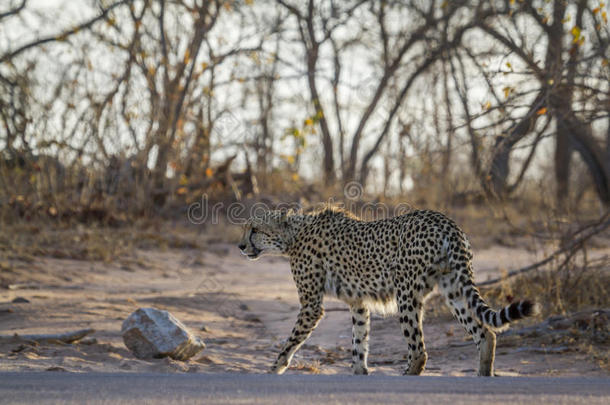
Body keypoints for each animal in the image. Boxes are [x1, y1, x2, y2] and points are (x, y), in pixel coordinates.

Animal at [235, 208, 536, 376]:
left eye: (255, 229)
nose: (240, 246)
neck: (294, 235)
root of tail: (444, 220)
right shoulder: (357, 301)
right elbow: (359, 340)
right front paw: (360, 372)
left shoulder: (311, 305)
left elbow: (291, 341)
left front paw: (274, 368)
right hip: (453, 288)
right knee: (485, 334)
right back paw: (483, 374)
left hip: (406, 293)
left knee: (419, 349)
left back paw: (408, 373)